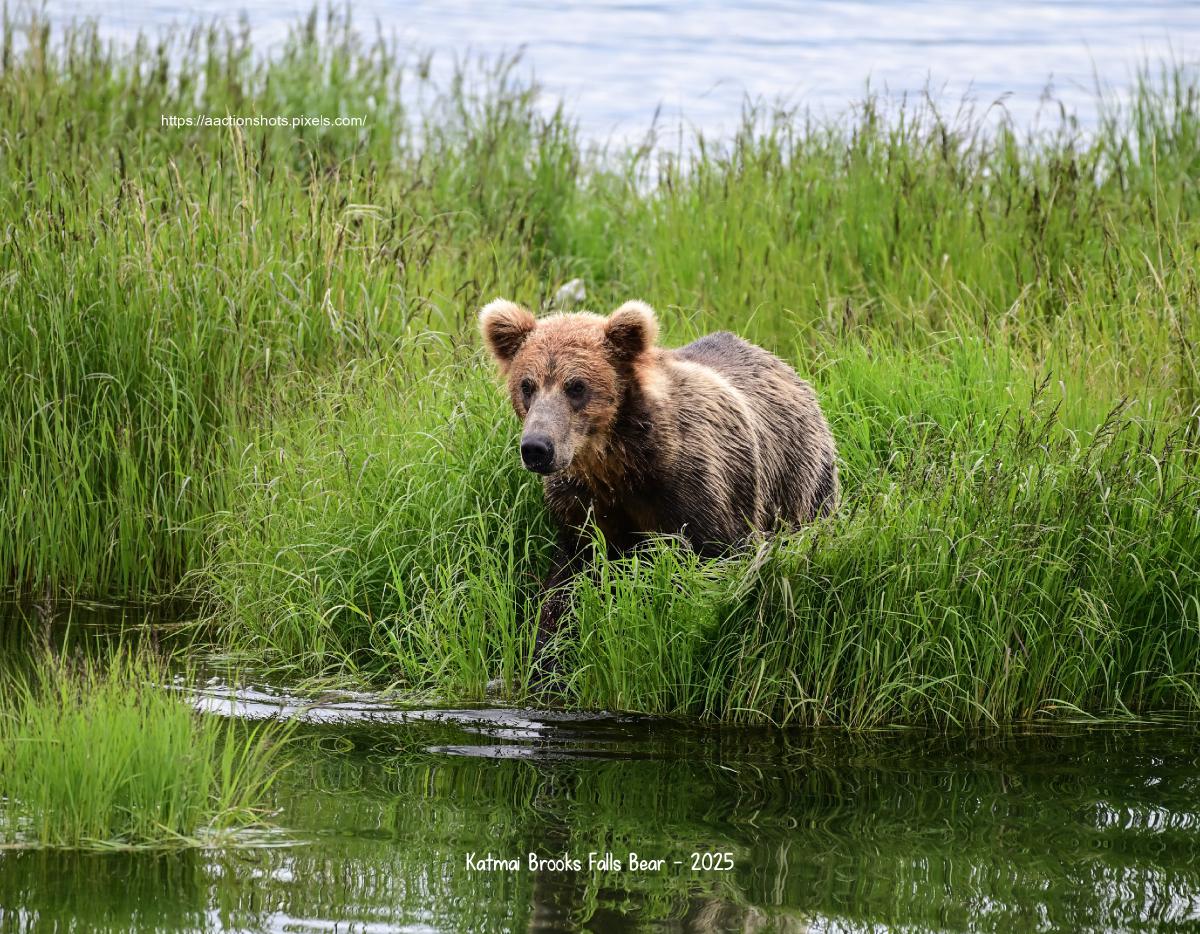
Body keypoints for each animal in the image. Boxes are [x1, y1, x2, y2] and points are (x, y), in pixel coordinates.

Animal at [475, 298, 835, 667]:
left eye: (576, 386)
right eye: (526, 385)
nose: (537, 447)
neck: (620, 466)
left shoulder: (700, 494)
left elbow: (718, 571)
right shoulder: (582, 507)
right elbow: (566, 589)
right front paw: (545, 656)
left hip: (800, 480)